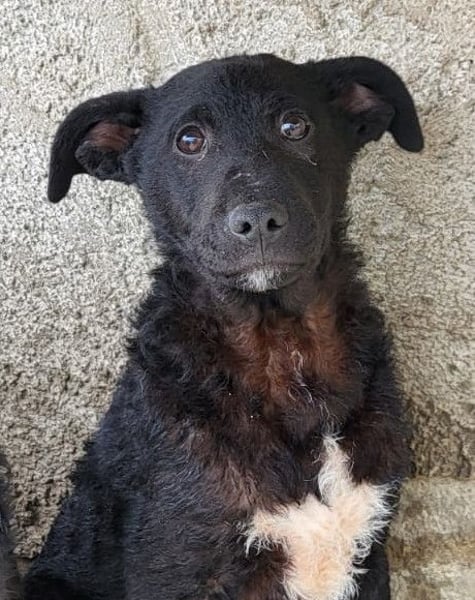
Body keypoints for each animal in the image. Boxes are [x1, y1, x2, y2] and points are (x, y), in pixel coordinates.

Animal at [24, 54, 423, 600]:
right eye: (189, 140)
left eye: (295, 126)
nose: (257, 220)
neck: (281, 342)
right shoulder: (177, 566)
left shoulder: (371, 549)